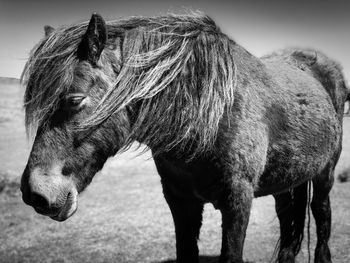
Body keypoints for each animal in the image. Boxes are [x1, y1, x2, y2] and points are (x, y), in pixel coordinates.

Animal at [20, 12, 348, 263]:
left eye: (75, 99)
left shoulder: (238, 199)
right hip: (286, 182)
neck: (210, 115)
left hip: (324, 175)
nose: (35, 194)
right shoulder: (180, 201)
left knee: (322, 217)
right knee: (288, 223)